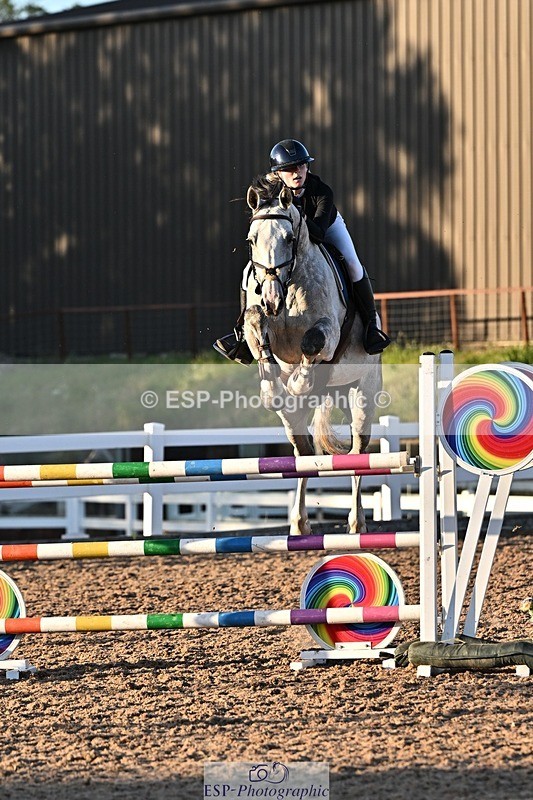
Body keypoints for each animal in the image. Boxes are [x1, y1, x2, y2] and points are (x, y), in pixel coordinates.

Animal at [242, 177, 383, 535]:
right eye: (251, 240)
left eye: (290, 238)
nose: (272, 299)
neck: (289, 285)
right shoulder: (259, 324)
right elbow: (255, 325)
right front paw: (272, 389)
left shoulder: (328, 335)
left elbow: (312, 342)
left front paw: (298, 382)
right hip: (297, 420)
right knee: (303, 454)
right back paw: (298, 523)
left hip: (362, 392)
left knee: (359, 453)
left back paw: (356, 523)